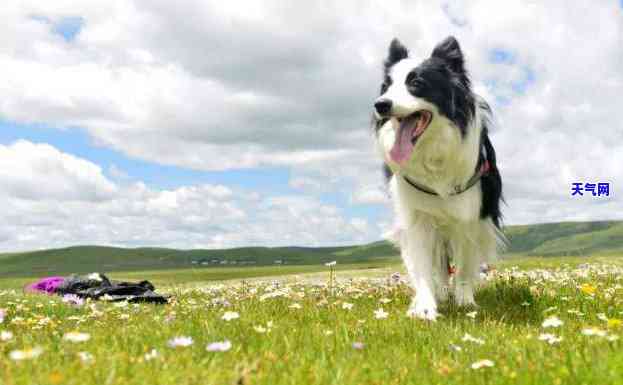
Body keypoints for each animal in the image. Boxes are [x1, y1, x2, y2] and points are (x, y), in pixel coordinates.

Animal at [372, 36, 504, 318]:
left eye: (416, 83)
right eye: (387, 86)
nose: (380, 104)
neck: (432, 152)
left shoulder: (469, 215)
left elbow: (464, 266)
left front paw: (465, 302)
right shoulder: (417, 216)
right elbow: (423, 265)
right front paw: (425, 307)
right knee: (440, 265)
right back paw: (442, 293)